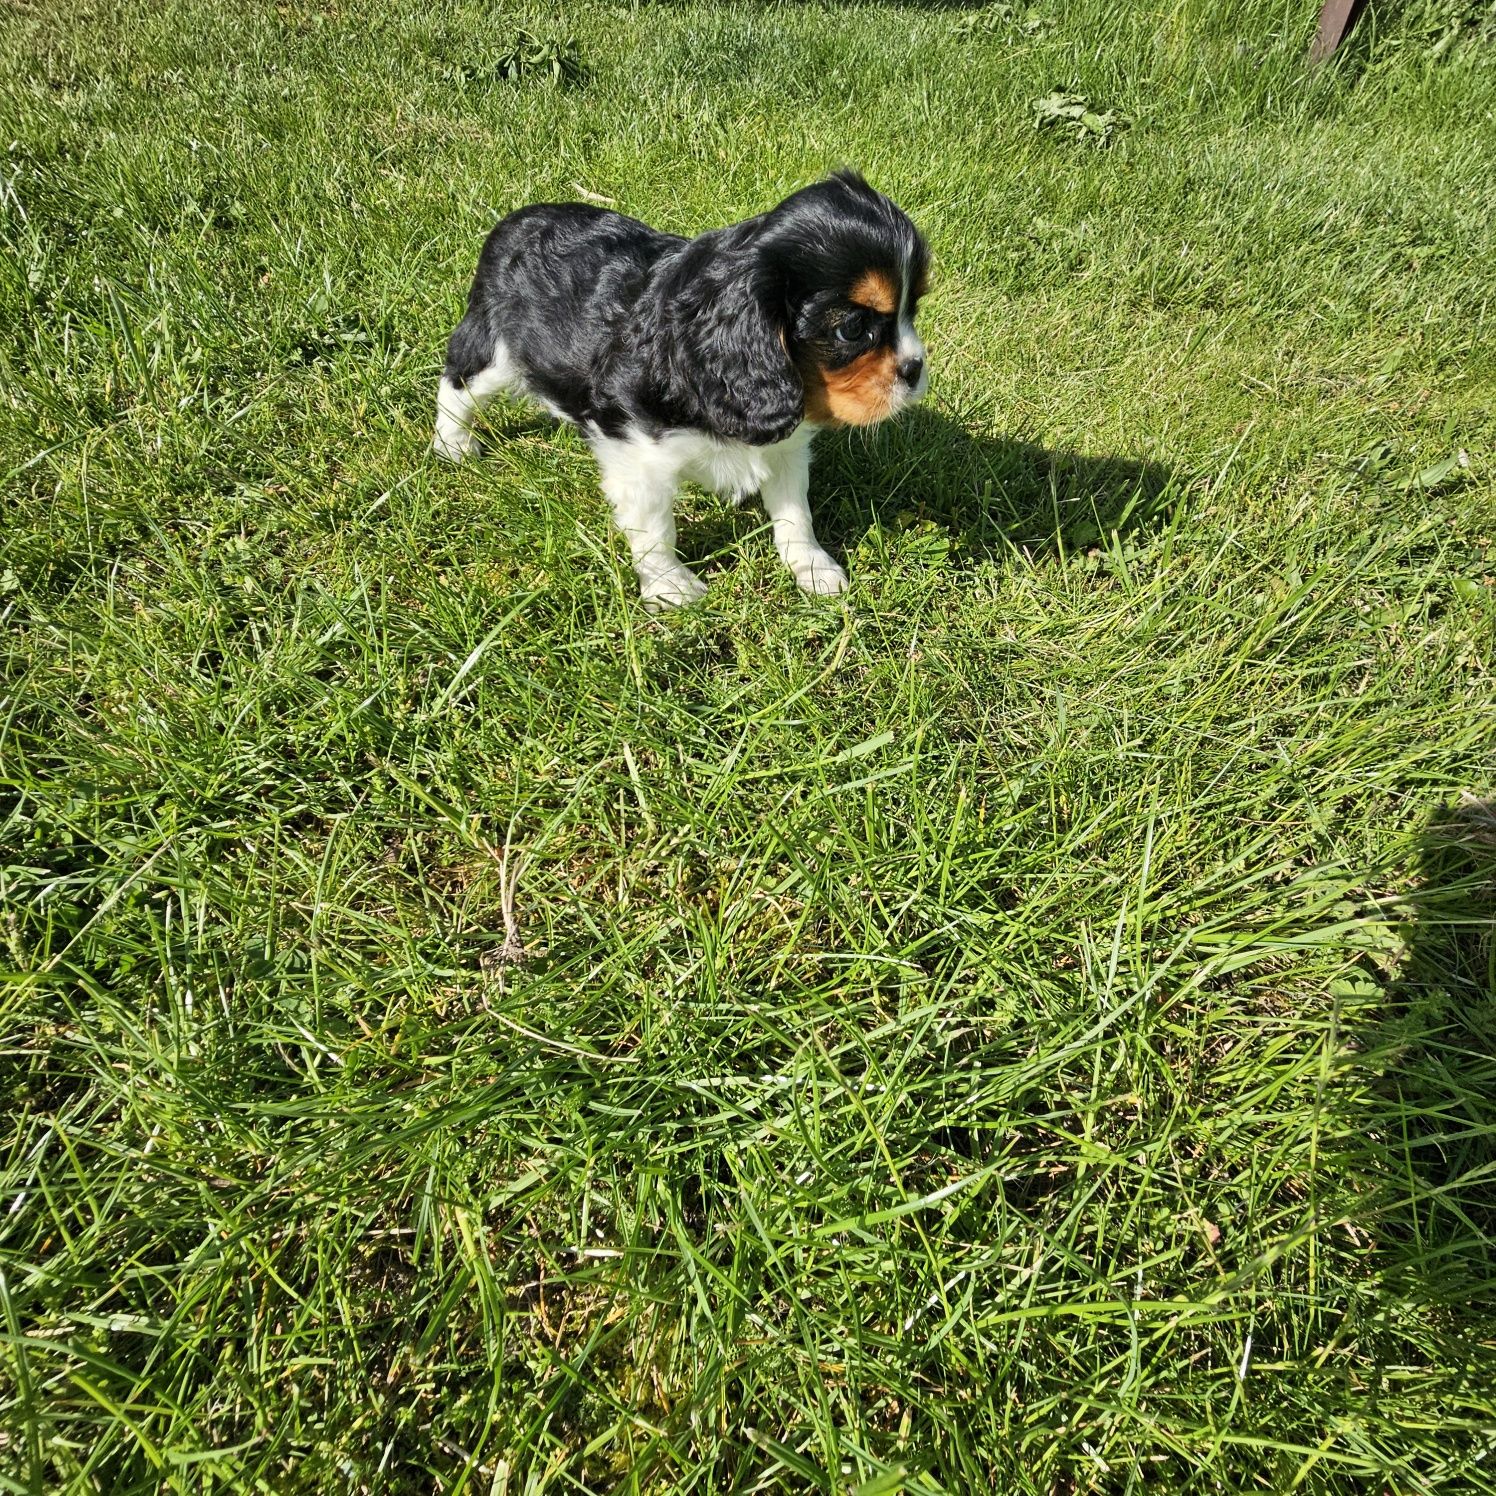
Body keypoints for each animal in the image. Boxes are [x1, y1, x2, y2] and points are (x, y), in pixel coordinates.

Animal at [430, 176, 921, 613]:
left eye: (912, 311)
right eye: (852, 329)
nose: (916, 368)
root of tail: (518, 219)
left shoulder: (786, 449)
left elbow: (794, 511)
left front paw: (811, 567)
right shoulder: (638, 460)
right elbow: (655, 530)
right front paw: (671, 587)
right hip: (496, 351)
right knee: (456, 382)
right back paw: (452, 444)